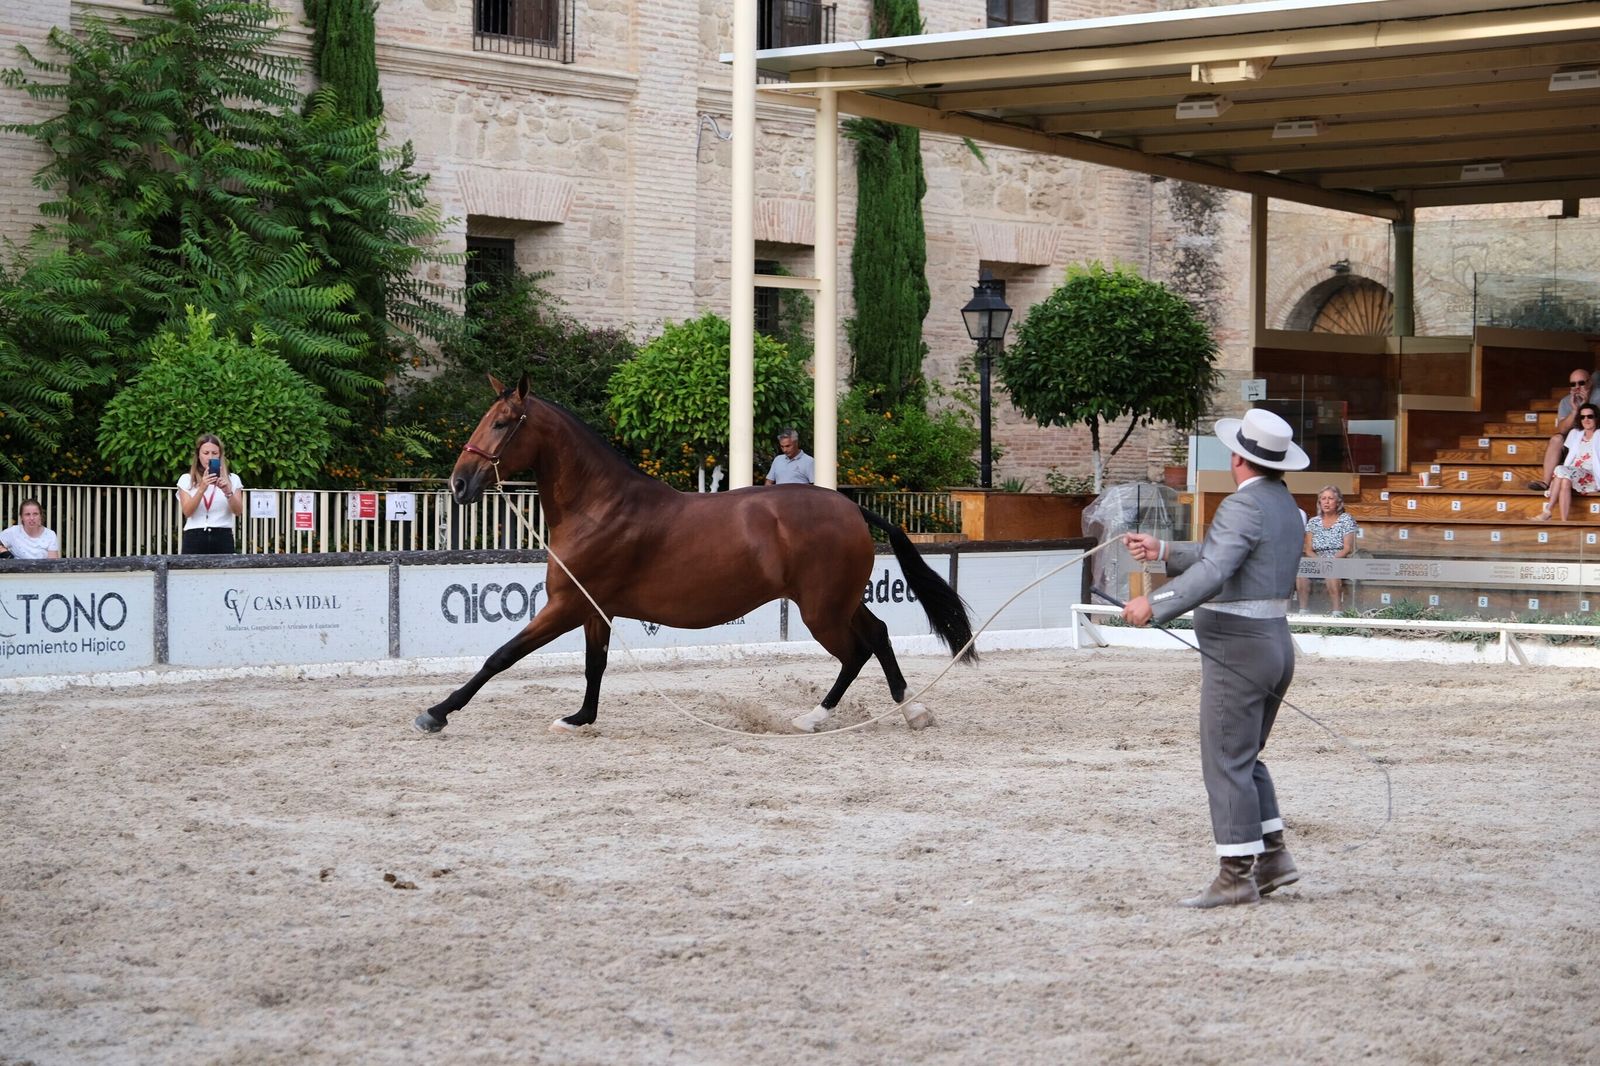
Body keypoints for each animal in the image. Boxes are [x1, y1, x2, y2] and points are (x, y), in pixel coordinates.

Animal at [413, 373, 976, 736]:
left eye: (503, 422)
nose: (458, 484)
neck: (599, 506)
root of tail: (850, 506)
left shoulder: (566, 606)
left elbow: (501, 656)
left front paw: (436, 713)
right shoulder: (595, 610)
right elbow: (595, 665)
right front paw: (579, 719)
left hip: (822, 609)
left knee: (858, 650)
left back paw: (831, 716)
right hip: (835, 601)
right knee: (875, 637)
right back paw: (894, 713)